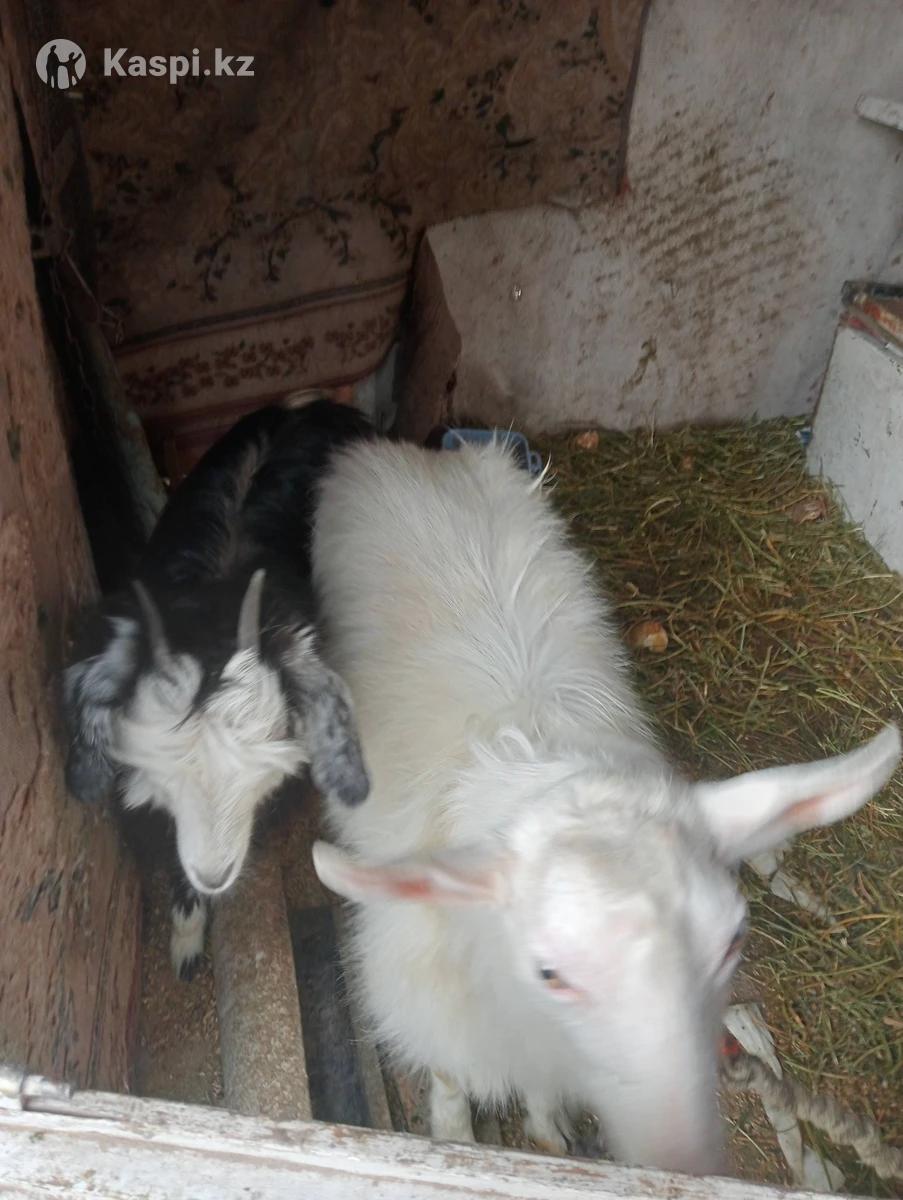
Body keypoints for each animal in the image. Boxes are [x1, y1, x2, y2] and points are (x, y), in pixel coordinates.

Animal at [309, 436, 901, 1176]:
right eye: (549, 971)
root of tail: (421, 454)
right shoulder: (434, 1000)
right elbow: (448, 1077)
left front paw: (545, 1129)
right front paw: (454, 1135)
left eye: (732, 940)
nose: (679, 1161)